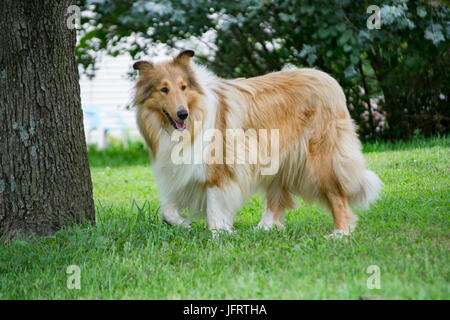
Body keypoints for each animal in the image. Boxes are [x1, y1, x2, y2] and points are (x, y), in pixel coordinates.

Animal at [132, 49, 382, 235]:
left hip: (321, 159)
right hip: (279, 157)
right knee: (277, 196)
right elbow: (167, 211)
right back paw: (265, 228)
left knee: (337, 195)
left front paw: (218, 234)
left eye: (184, 87)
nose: (182, 114)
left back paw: (340, 233)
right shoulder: (182, 174)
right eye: (164, 89)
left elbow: (214, 206)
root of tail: (330, 80)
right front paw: (185, 224)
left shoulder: (217, 171)